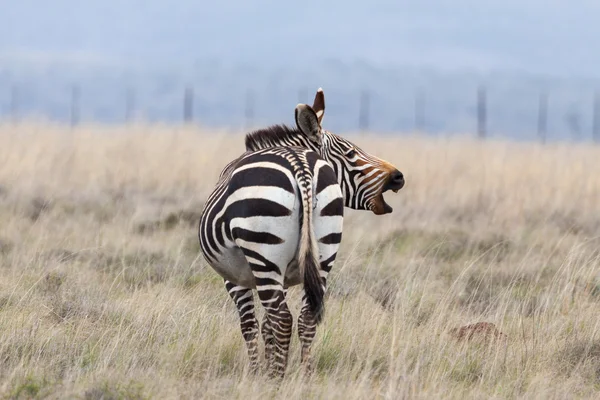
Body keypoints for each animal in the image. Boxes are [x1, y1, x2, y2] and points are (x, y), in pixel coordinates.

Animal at [199, 88, 406, 378]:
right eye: (351, 153)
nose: (399, 177)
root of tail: (300, 165)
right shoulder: (280, 276)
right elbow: (265, 326)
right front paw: (266, 366)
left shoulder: (235, 276)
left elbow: (250, 325)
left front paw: (256, 373)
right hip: (324, 250)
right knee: (306, 318)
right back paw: (304, 376)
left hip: (264, 255)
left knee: (283, 319)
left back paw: (276, 379)